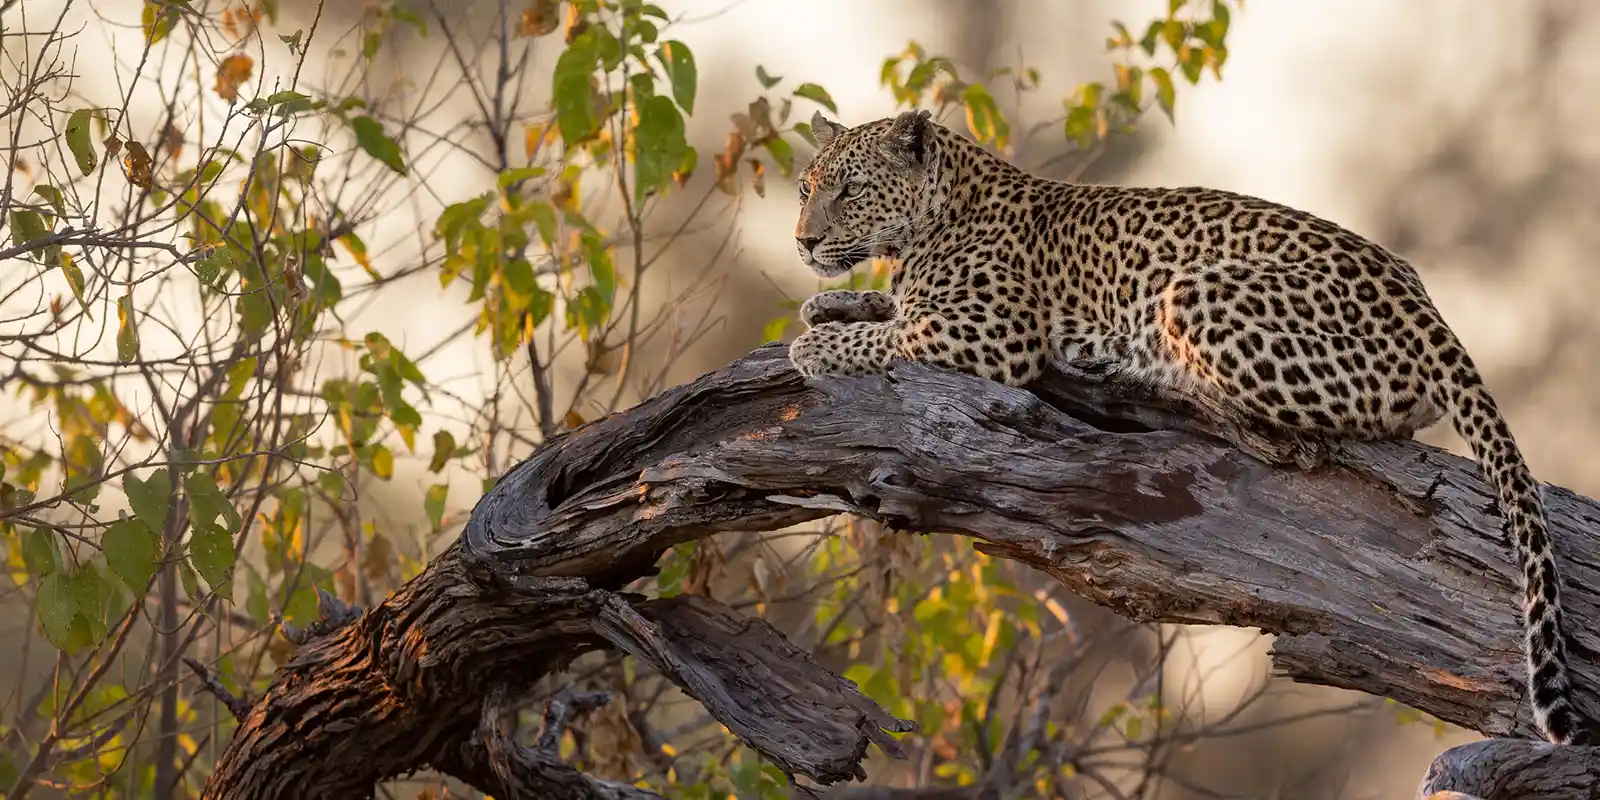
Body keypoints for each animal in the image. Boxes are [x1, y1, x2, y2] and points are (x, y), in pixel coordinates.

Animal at [787, 108, 1593, 745]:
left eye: (850, 190)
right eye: (805, 188)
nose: (801, 242)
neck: (938, 213)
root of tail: (1428, 311)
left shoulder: (994, 335)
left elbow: (892, 333)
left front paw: (818, 344)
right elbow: (884, 309)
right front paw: (829, 305)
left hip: (1196, 292)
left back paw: (1138, 367)